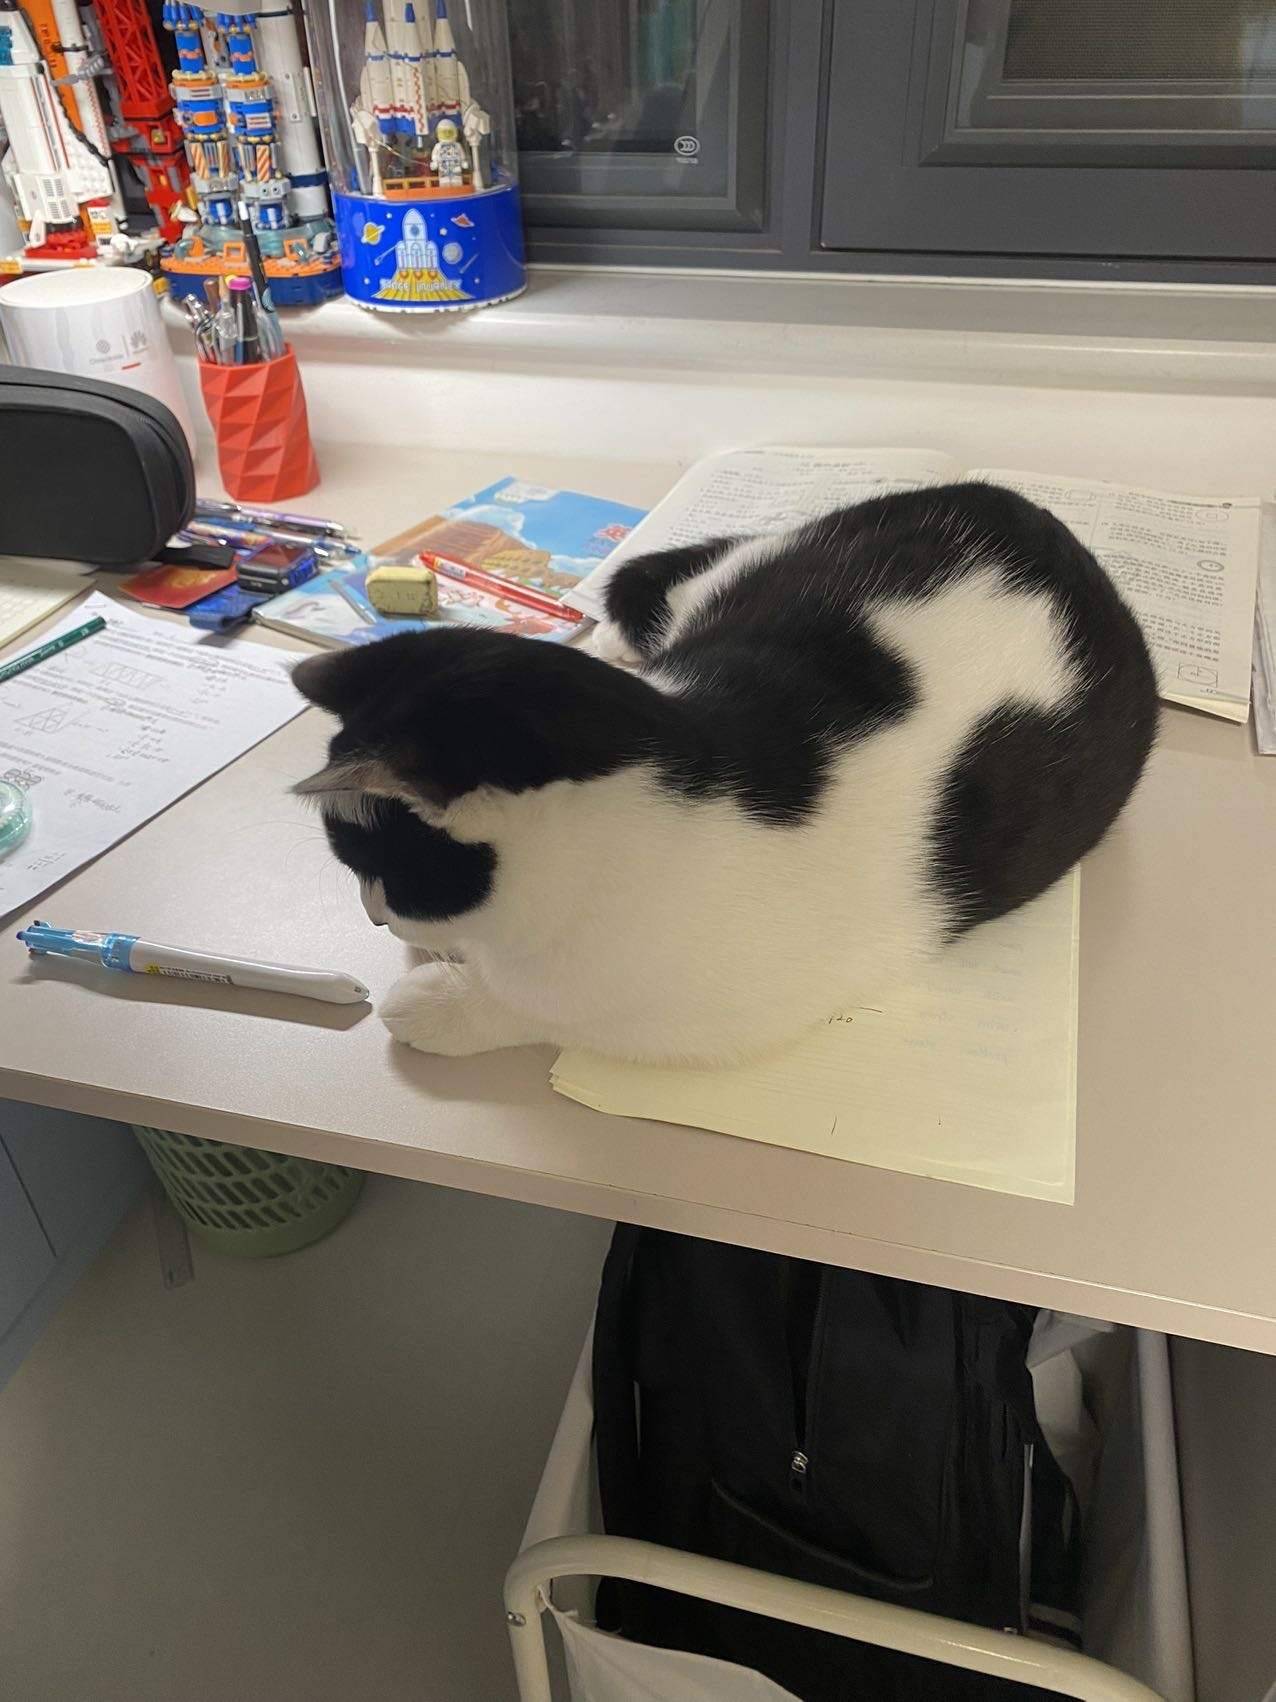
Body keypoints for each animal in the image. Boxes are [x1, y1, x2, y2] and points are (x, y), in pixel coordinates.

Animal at [292, 481, 1157, 1065]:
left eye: (376, 869)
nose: (374, 920)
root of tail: (1032, 515)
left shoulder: (692, 1014)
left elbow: (543, 1011)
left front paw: (441, 1001)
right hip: (763, 564)